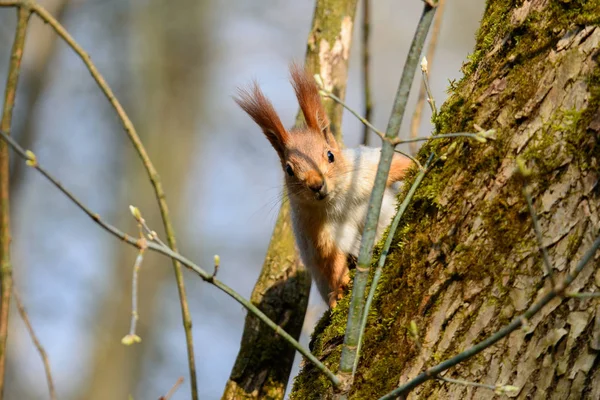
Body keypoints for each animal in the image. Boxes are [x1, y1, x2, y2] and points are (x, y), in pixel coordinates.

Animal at [234, 64, 412, 308]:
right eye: (288, 169)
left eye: (330, 155)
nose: (316, 184)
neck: (337, 202)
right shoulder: (318, 232)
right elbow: (332, 261)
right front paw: (339, 288)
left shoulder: (370, 168)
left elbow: (401, 165)